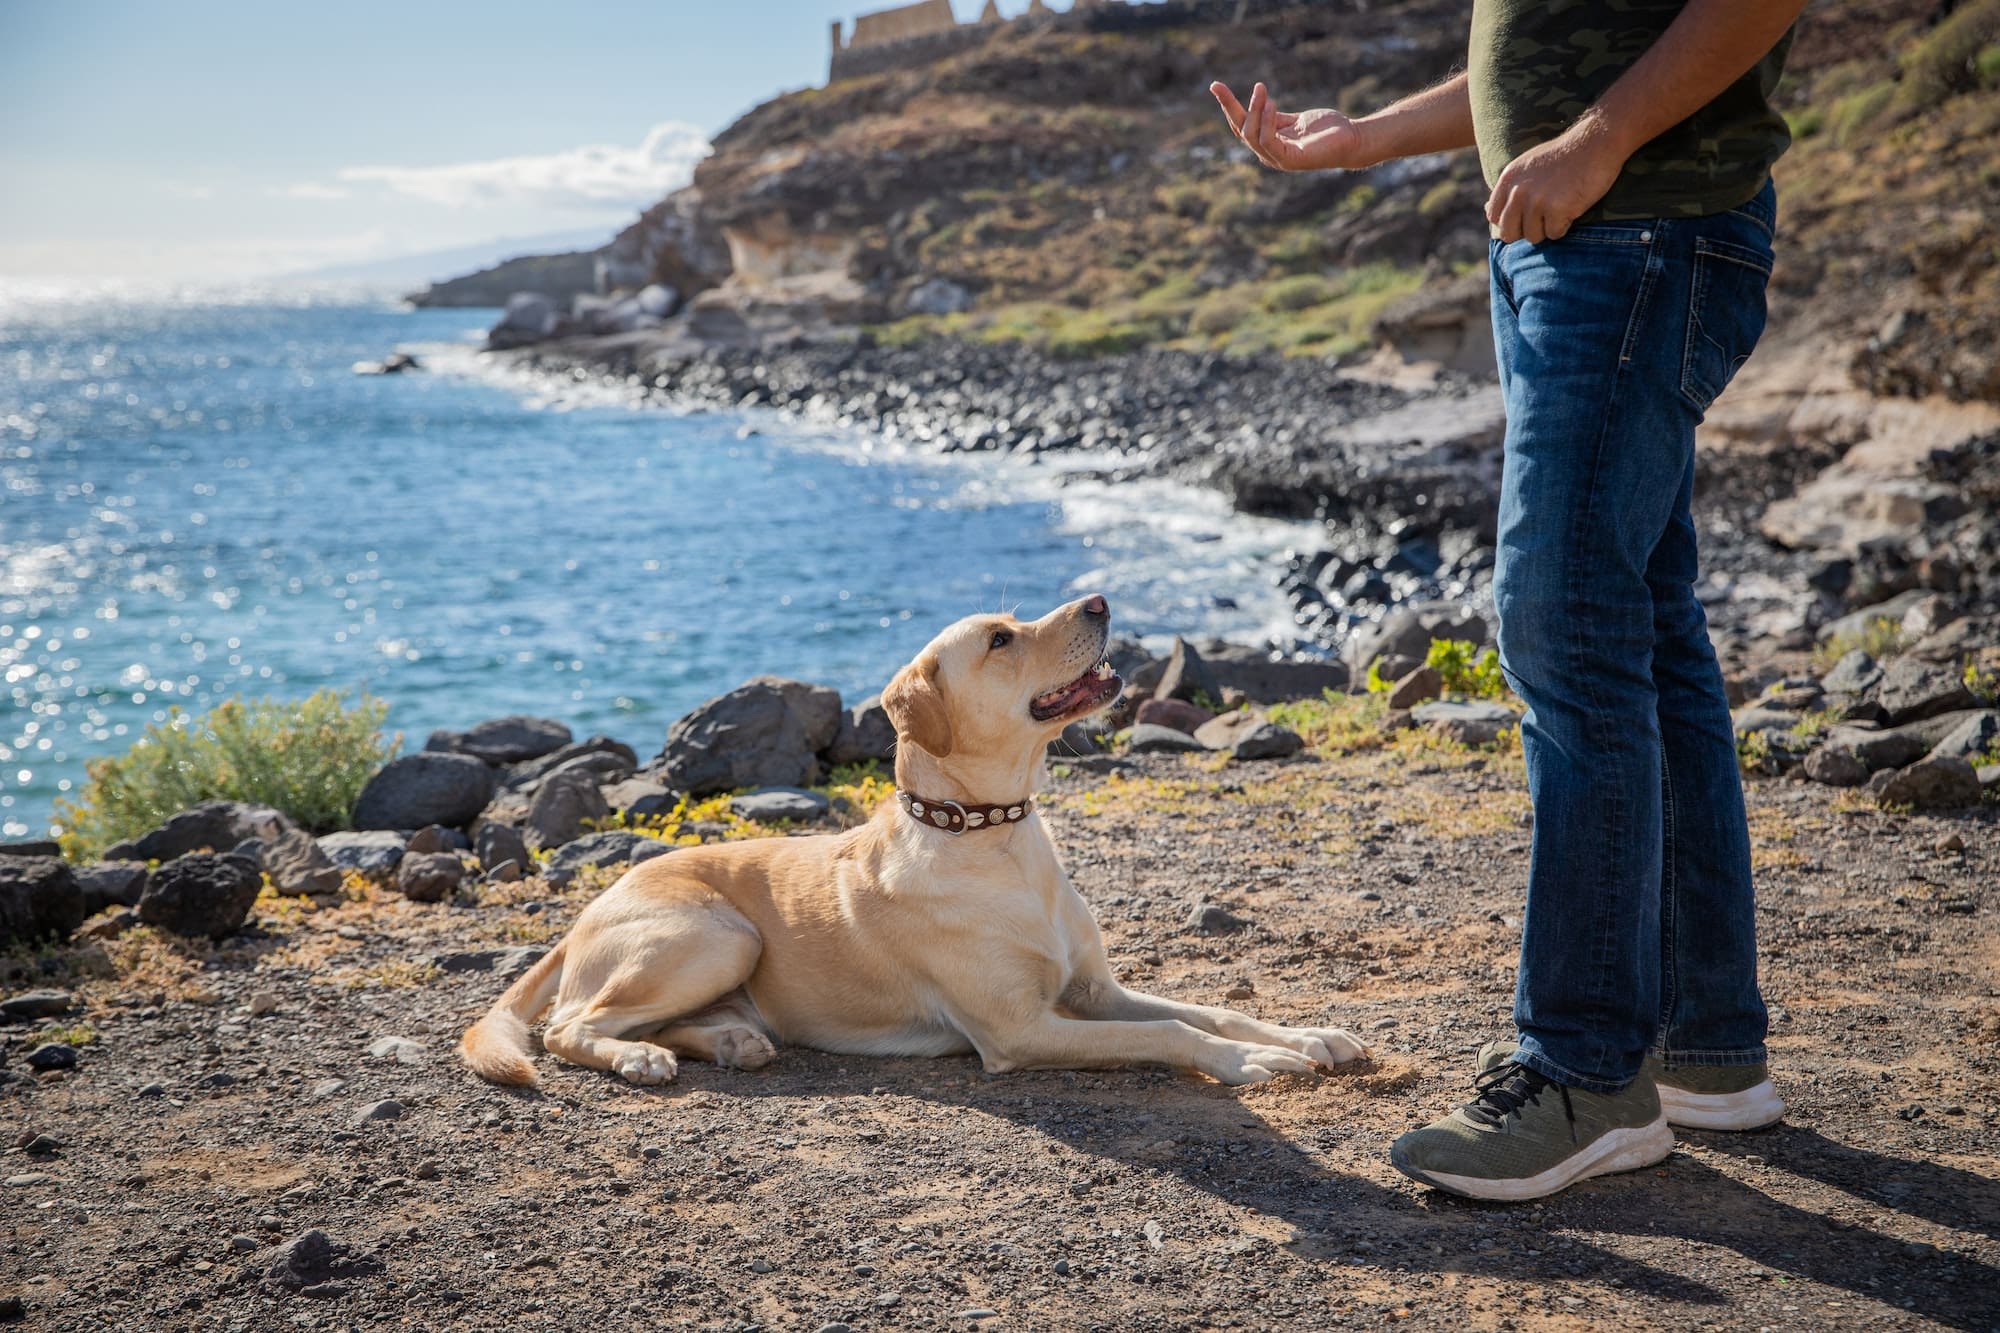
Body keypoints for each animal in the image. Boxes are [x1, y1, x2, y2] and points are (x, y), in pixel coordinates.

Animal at [462, 596, 1368, 1088]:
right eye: (1000, 640)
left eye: (1016, 623)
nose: (1101, 601)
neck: (996, 836)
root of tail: (588, 909)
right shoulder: (1020, 1031)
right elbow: (1171, 1034)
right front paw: (1246, 1063)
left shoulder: (1093, 992)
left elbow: (1208, 1008)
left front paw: (1307, 1036)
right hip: (717, 934)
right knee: (569, 1025)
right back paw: (638, 1060)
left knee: (652, 1020)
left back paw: (730, 1041)